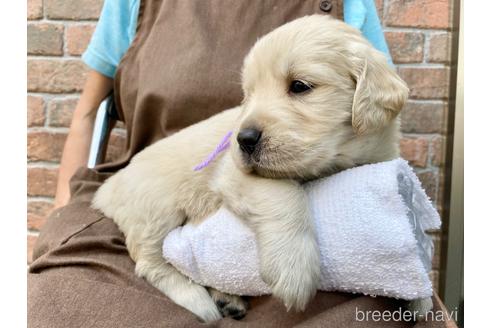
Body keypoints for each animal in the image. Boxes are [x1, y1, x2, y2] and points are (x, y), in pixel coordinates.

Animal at [92, 15, 418, 322]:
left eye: (299, 86)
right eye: (248, 94)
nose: (244, 139)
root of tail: (107, 189)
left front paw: (417, 298)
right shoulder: (232, 172)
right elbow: (284, 195)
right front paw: (293, 268)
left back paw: (226, 298)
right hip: (156, 210)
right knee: (150, 261)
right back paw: (199, 301)